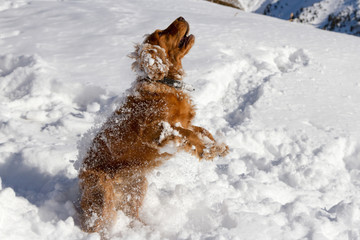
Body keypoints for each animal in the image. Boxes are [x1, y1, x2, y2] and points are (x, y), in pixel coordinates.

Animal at [79, 16, 229, 234]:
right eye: (161, 33)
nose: (181, 17)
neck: (166, 83)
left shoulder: (185, 122)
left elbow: (200, 130)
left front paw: (216, 146)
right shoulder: (153, 130)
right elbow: (186, 134)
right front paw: (207, 150)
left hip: (137, 185)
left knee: (132, 214)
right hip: (101, 193)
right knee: (97, 224)